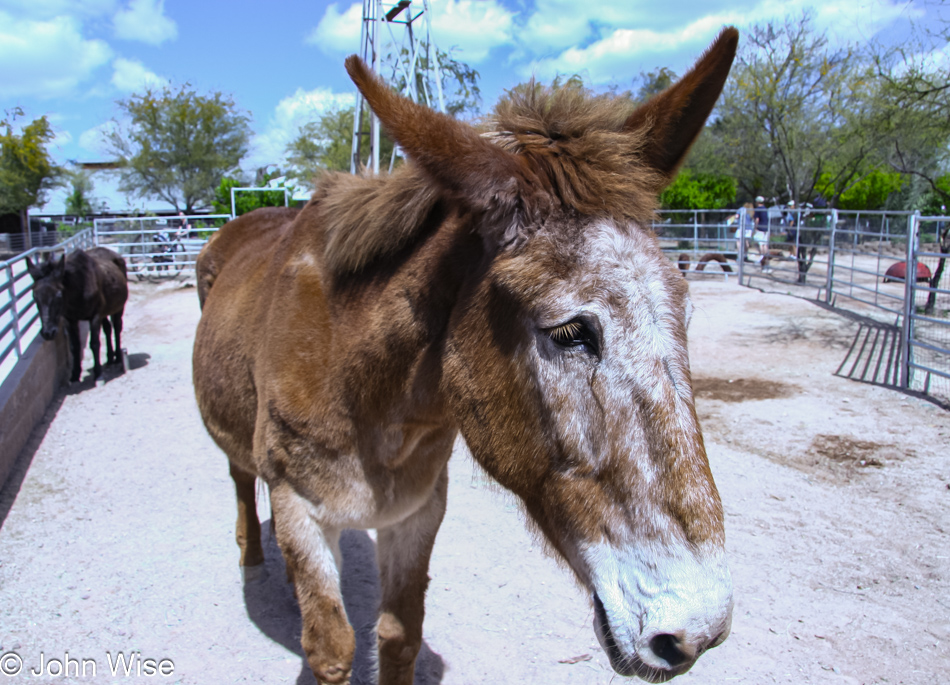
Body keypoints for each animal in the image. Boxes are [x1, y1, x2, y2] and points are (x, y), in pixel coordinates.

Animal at [26, 246, 128, 382]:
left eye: (58, 295)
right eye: (34, 296)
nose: (48, 333)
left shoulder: (95, 316)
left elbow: (94, 343)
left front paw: (98, 374)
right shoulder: (70, 319)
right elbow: (74, 346)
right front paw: (75, 374)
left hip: (118, 307)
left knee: (117, 327)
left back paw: (118, 357)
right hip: (105, 311)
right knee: (108, 328)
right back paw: (110, 358)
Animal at [195, 28, 744, 684]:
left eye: (683, 312)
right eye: (568, 333)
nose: (700, 631)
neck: (364, 393)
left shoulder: (417, 513)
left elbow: (398, 637)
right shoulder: (300, 510)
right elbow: (331, 650)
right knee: (237, 476)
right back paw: (253, 556)